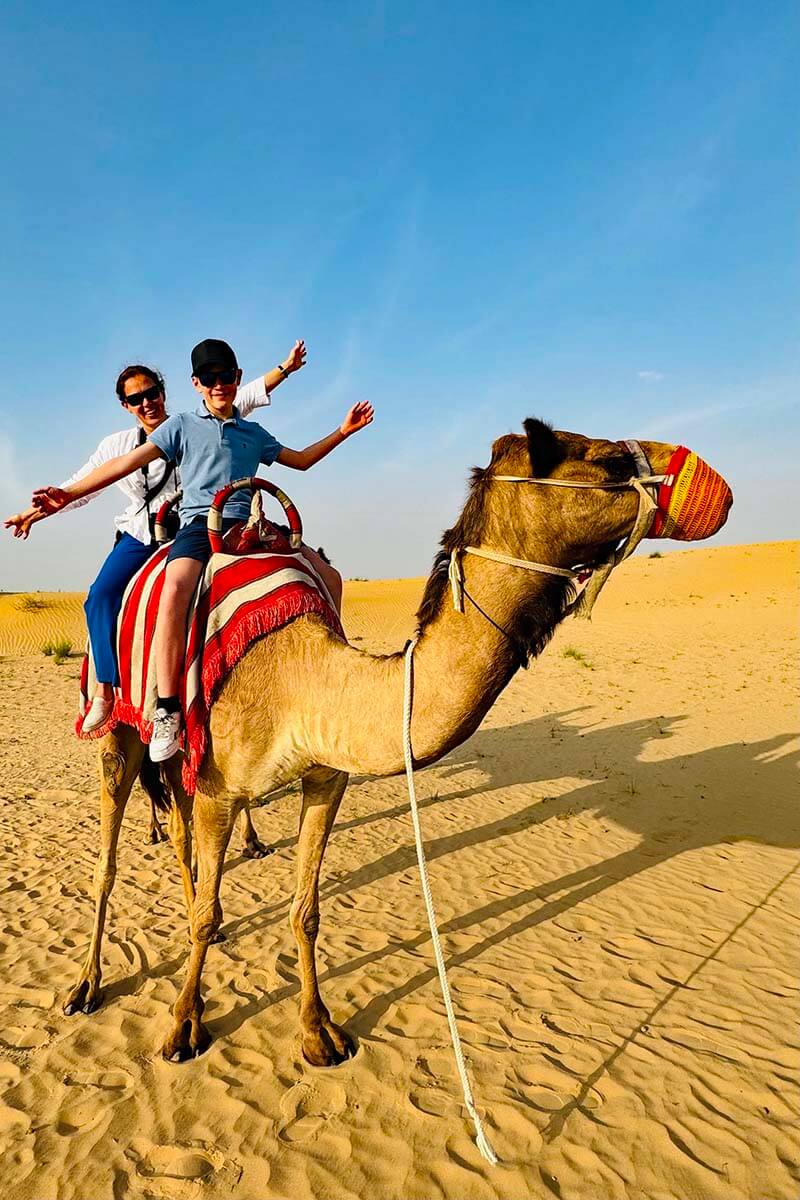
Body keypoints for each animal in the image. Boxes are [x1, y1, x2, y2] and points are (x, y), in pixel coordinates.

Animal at [63, 419, 731, 1067]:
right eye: (608, 462)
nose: (716, 486)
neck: (300, 673)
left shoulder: (324, 776)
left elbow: (305, 910)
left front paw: (318, 1032)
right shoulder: (220, 788)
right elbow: (205, 915)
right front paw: (184, 1025)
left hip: (183, 759)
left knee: (178, 833)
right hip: (122, 725)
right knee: (111, 855)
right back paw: (87, 986)